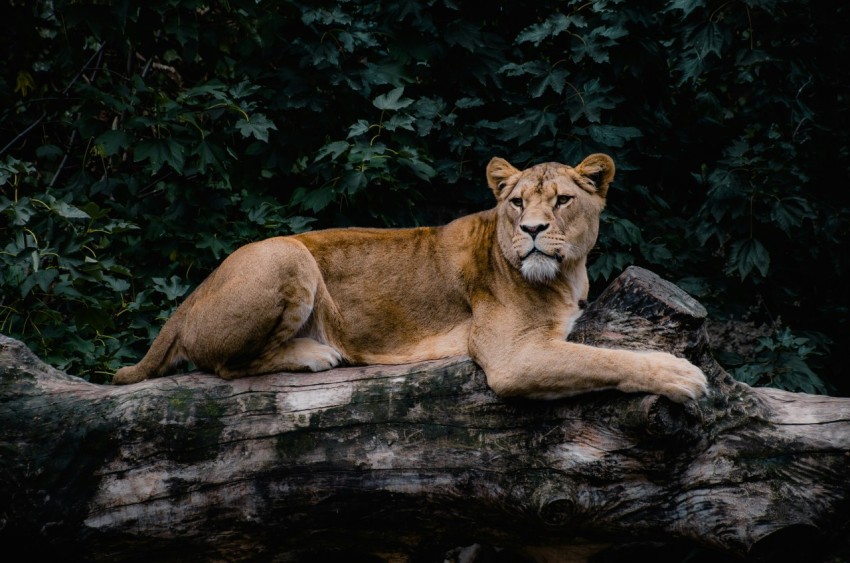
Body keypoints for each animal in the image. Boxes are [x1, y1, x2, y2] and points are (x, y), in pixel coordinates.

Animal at [113, 153, 708, 403]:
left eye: (561, 201)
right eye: (517, 203)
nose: (534, 230)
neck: (568, 275)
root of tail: (190, 297)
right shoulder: (513, 357)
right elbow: (605, 358)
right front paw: (680, 376)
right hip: (286, 253)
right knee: (223, 366)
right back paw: (312, 354)